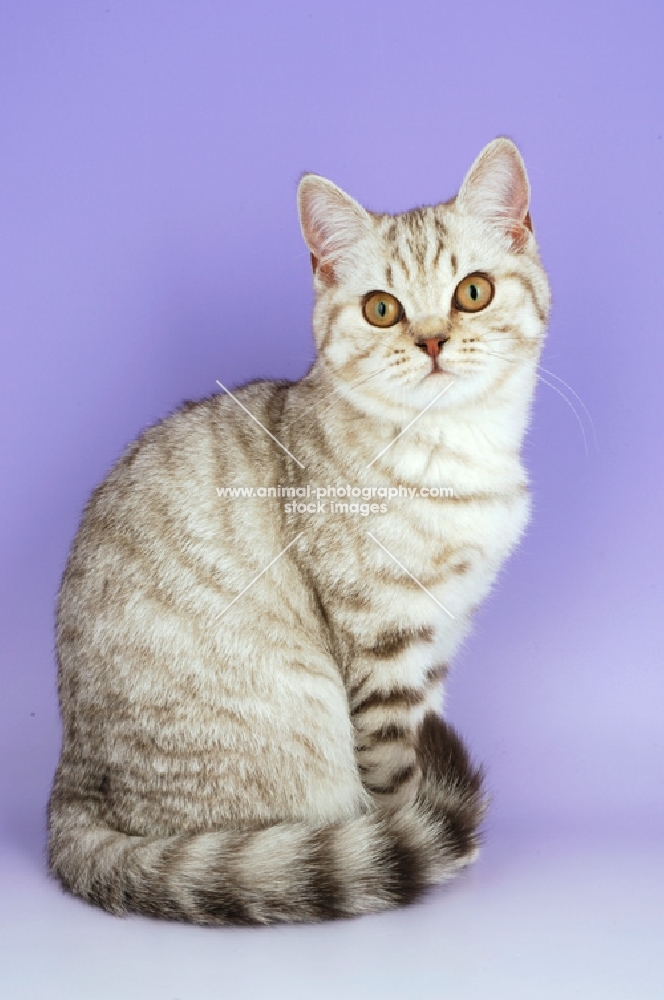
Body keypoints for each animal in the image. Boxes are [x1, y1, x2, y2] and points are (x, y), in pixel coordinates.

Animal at [48, 137, 548, 924]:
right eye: (382, 309)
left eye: (473, 292)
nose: (433, 341)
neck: (451, 451)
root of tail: (73, 785)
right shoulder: (384, 643)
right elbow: (396, 768)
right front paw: (409, 835)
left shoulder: (438, 638)